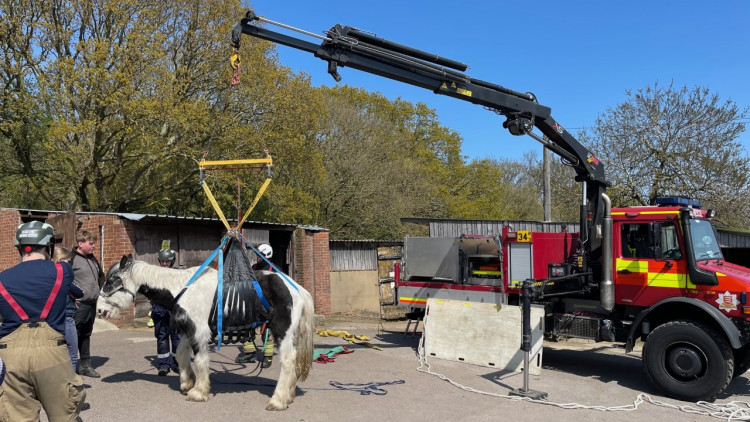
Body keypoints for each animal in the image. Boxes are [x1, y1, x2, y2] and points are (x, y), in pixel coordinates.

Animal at [96, 249, 314, 410]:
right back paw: (289, 395)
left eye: (112, 280)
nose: (99, 310)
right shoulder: (187, 329)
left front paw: (198, 392)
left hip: (281, 332)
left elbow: (200, 360)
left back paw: (278, 400)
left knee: (288, 361)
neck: (181, 288)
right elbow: (181, 355)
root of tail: (297, 288)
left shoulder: (198, 331)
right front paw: (187, 383)